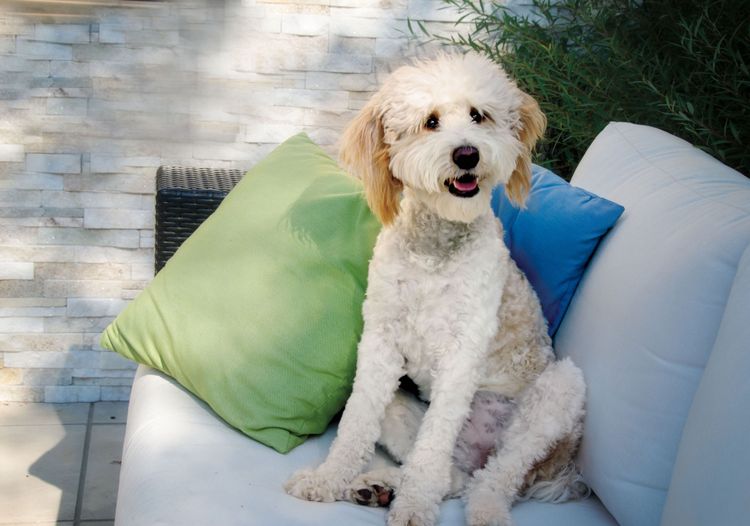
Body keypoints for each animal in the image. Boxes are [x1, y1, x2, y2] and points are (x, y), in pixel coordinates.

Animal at [284, 53, 592, 526]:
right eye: (430, 121)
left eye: (478, 116)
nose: (467, 154)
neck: (435, 247)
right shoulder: (380, 343)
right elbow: (355, 424)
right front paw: (328, 479)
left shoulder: (462, 354)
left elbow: (431, 451)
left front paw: (413, 508)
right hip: (401, 406)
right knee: (455, 475)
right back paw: (379, 485)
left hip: (558, 393)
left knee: (495, 478)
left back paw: (483, 510)